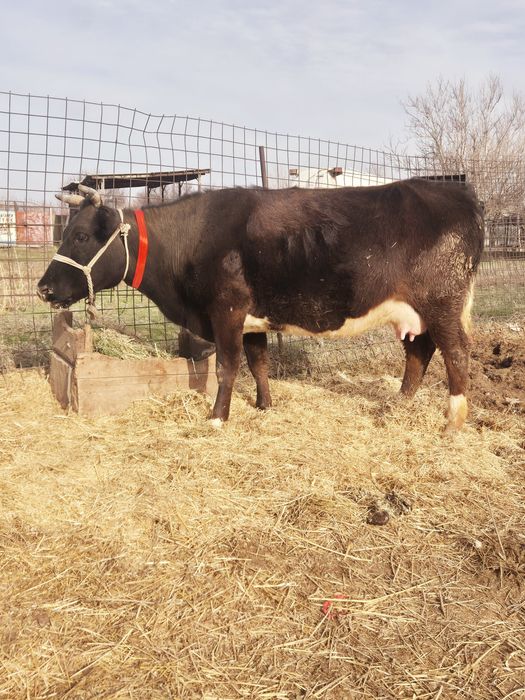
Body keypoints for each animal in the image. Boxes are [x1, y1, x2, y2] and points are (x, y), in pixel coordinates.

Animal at [37, 179, 484, 431]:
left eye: (80, 235)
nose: (42, 289)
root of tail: (458, 194)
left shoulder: (227, 311)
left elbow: (227, 366)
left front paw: (218, 417)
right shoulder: (251, 319)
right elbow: (259, 363)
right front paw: (265, 406)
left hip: (442, 303)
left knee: (455, 353)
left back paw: (452, 423)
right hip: (415, 312)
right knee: (419, 352)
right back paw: (397, 406)